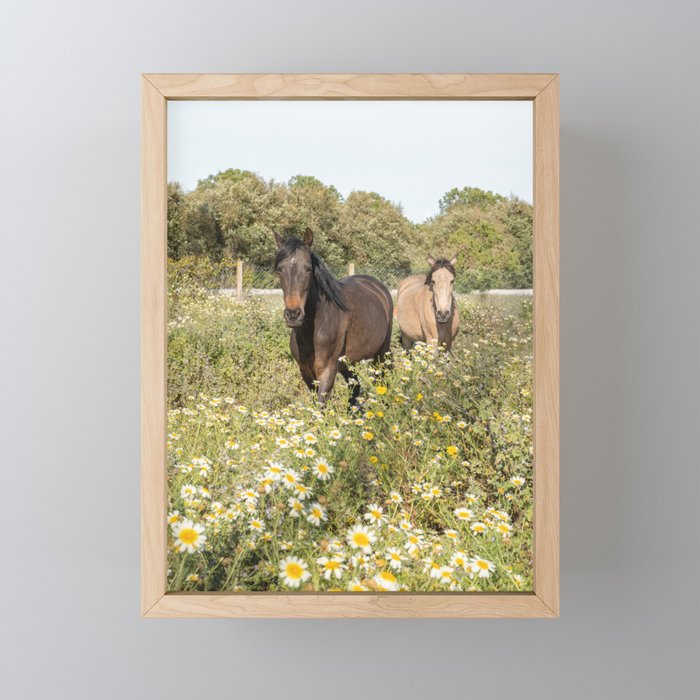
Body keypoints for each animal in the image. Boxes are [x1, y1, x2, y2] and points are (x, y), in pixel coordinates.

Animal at [274, 228, 393, 405]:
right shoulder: (306, 372)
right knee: (354, 387)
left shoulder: (327, 371)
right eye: (280, 269)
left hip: (380, 356)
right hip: (347, 363)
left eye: (308, 269)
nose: (293, 314)